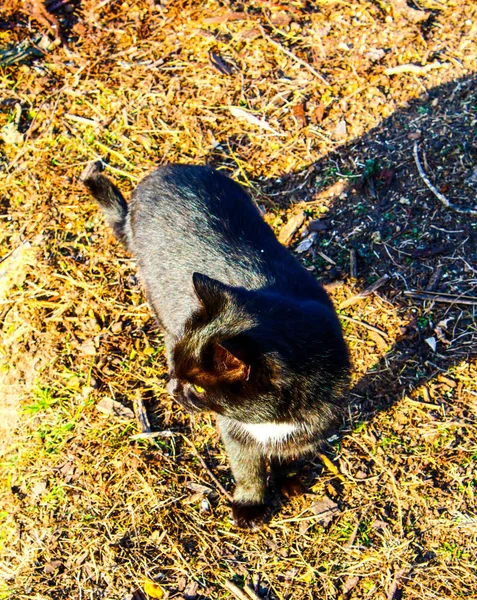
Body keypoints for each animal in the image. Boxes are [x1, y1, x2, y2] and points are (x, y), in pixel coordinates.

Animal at [80, 162, 350, 528]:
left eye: (198, 386)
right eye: (175, 368)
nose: (171, 389)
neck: (272, 420)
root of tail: (162, 171)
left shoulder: (317, 420)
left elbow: (290, 452)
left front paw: (289, 478)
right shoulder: (234, 430)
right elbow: (246, 467)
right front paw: (250, 504)